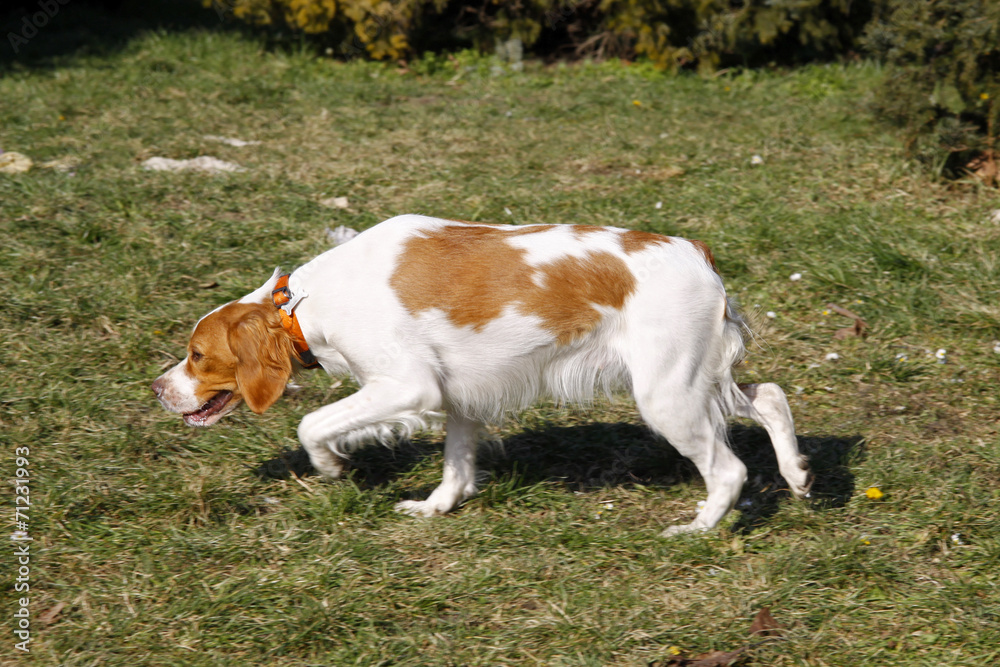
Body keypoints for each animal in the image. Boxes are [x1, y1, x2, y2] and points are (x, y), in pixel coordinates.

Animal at [154, 217, 812, 536]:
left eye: (196, 356)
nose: (158, 389)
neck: (302, 306)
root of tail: (697, 252)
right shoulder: (458, 395)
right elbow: (456, 465)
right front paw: (435, 507)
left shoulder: (407, 386)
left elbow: (313, 424)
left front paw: (333, 467)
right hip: (698, 381)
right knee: (770, 397)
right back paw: (799, 477)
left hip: (667, 396)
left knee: (728, 470)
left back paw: (697, 528)